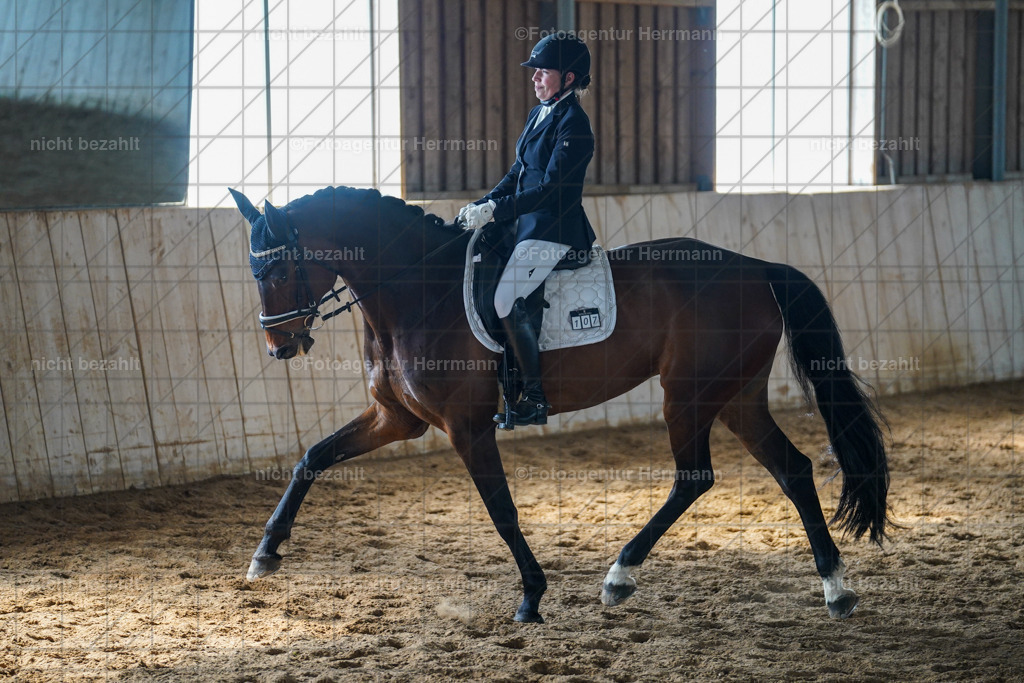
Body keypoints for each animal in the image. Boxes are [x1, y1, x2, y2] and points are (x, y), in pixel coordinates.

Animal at [229, 185, 893, 623]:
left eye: (280, 269)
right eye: (254, 273)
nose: (279, 345)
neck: (416, 290)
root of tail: (756, 267)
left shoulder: (466, 426)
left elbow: (501, 511)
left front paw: (531, 595)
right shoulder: (398, 419)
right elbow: (311, 458)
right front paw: (265, 553)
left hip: (688, 395)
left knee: (695, 477)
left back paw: (620, 576)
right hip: (737, 397)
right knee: (792, 469)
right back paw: (835, 588)